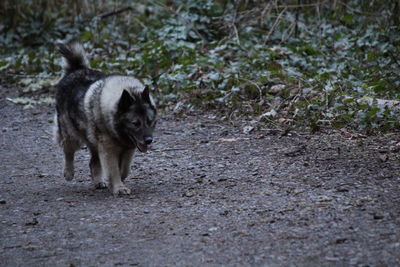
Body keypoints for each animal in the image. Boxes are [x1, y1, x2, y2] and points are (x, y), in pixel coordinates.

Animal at [54, 41, 157, 197]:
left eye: (150, 121)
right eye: (136, 123)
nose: (149, 140)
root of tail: (76, 69)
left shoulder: (127, 149)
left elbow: (124, 169)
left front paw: (117, 181)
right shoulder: (108, 150)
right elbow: (114, 170)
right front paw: (119, 187)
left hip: (94, 143)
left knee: (93, 162)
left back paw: (98, 181)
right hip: (71, 135)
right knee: (68, 151)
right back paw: (69, 172)